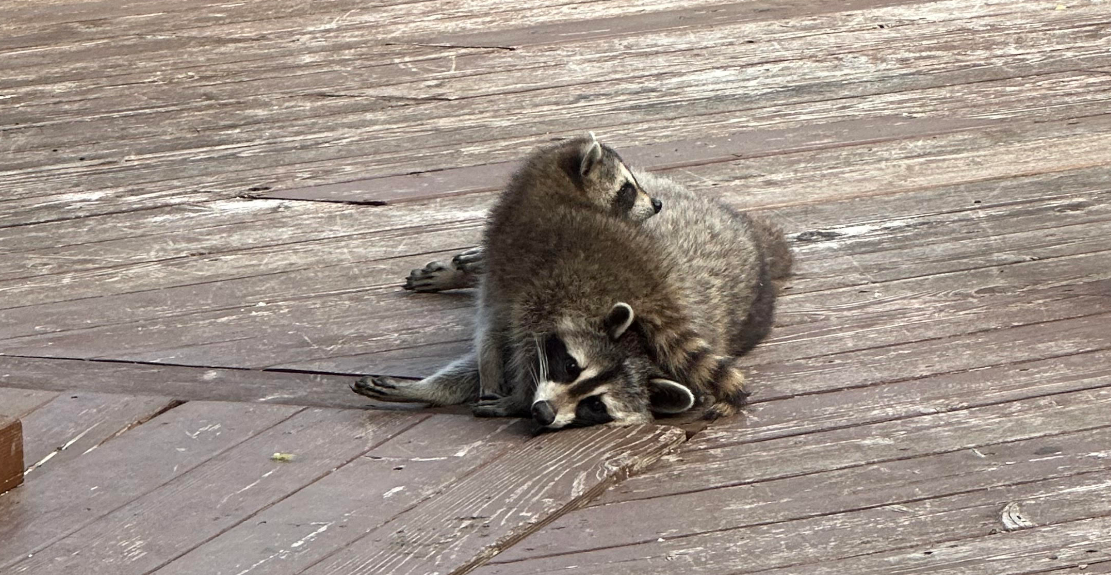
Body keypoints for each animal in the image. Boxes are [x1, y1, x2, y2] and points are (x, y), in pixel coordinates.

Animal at [351, 137, 795, 430]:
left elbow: (494, 331)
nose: (656, 204)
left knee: (524, 334)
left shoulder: (514, 269)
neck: (551, 191)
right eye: (627, 188)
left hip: (560, 286)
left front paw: (494, 384)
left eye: (595, 407)